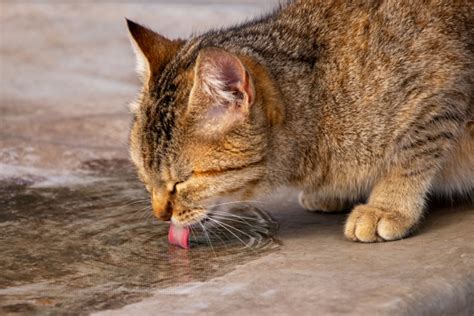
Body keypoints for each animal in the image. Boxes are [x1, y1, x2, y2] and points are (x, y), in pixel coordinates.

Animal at [126, 0, 474, 243]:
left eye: (182, 182)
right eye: (144, 175)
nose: (160, 215)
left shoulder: (444, 95)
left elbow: (409, 156)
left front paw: (388, 207)